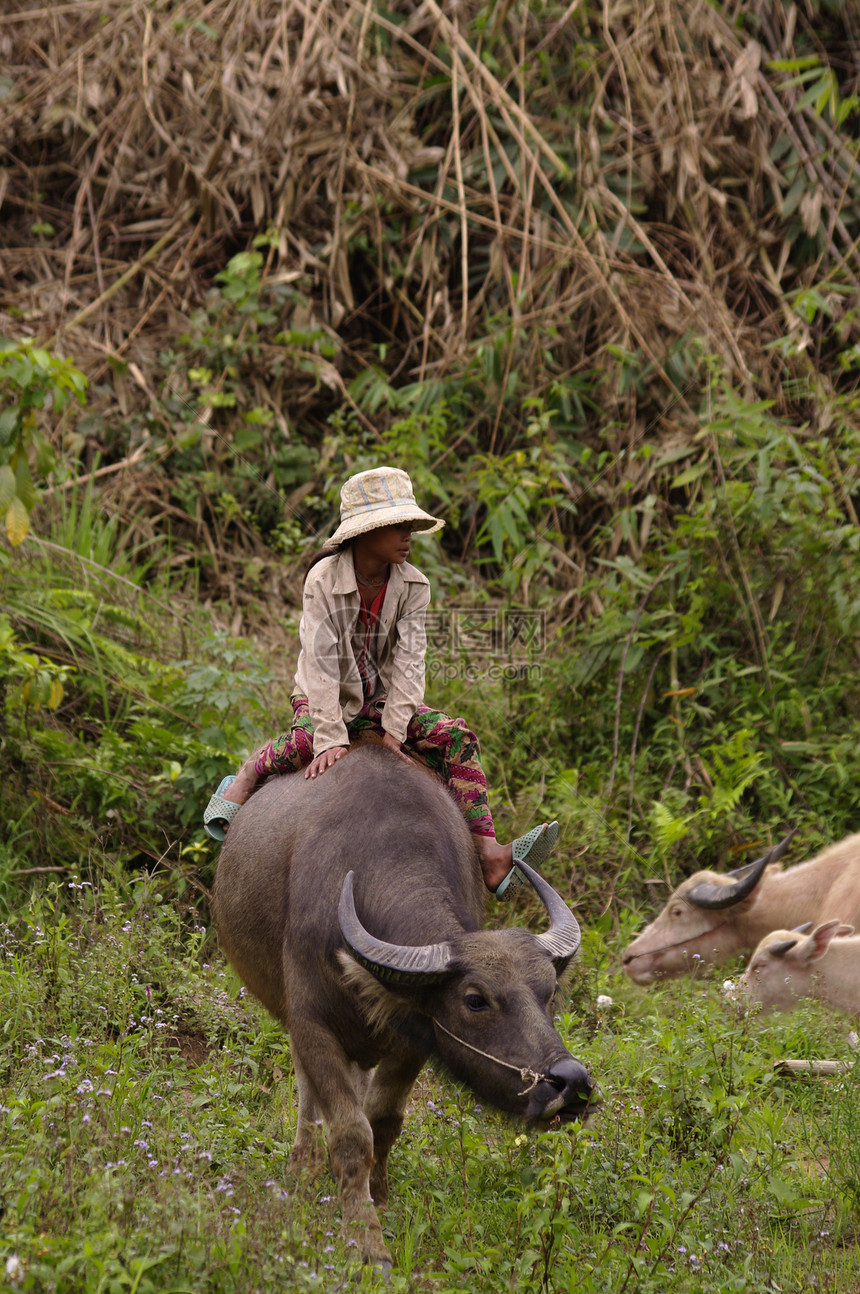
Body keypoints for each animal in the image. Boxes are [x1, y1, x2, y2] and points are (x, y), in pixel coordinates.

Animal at [210, 745, 594, 1268]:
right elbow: (351, 1131)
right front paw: (365, 1239)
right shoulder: (311, 1024)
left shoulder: (412, 1039)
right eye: (475, 1000)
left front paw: (380, 1198)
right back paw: (303, 1169)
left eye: (549, 992)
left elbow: (383, 1122)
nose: (571, 1082)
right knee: (308, 1092)